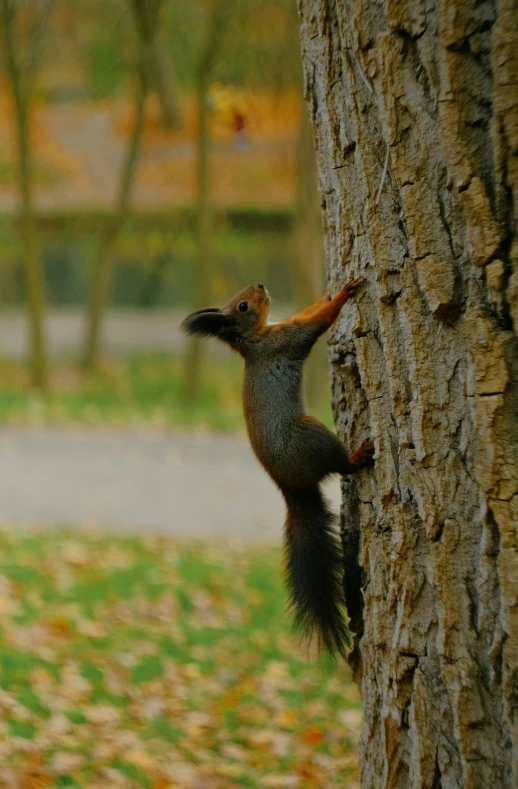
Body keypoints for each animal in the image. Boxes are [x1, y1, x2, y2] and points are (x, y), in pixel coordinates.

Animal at [183, 280, 374, 656]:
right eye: (243, 306)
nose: (260, 284)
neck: (257, 336)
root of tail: (291, 488)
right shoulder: (285, 340)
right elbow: (316, 324)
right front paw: (343, 294)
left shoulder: (283, 328)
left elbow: (307, 312)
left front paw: (326, 293)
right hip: (312, 435)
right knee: (342, 466)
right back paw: (358, 456)